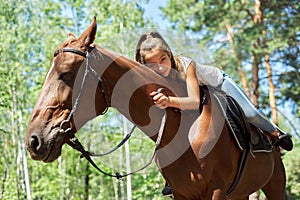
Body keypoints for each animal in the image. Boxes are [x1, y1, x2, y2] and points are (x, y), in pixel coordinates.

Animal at [26, 17, 286, 200]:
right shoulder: (182, 194)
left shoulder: (216, 191)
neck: (185, 129)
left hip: (274, 185)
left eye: (65, 73)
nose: (33, 140)